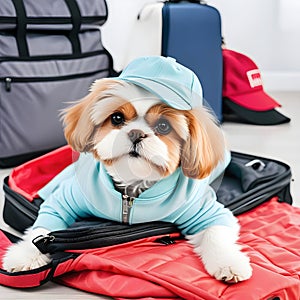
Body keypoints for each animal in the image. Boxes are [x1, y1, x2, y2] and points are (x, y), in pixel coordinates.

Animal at [2, 56, 252, 284]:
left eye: (163, 126)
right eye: (117, 118)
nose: (136, 133)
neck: (130, 191)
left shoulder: (208, 213)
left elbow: (215, 234)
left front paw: (229, 262)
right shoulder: (63, 201)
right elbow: (43, 231)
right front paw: (26, 255)